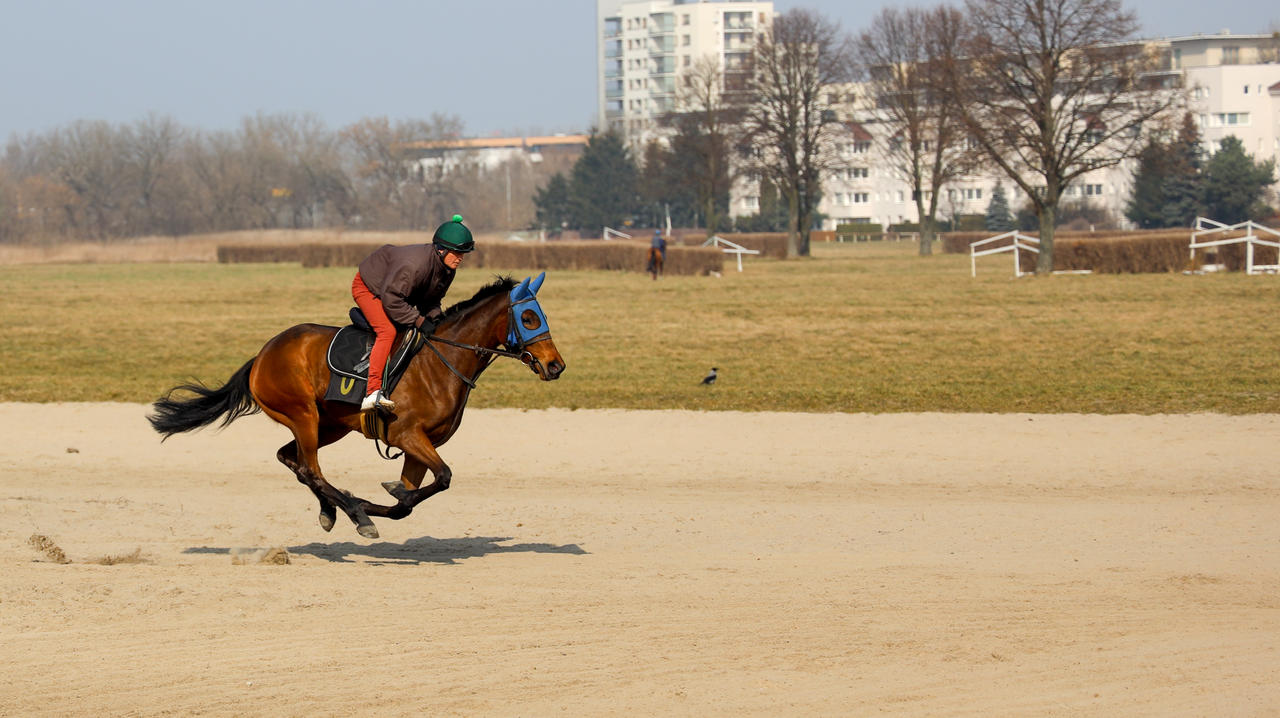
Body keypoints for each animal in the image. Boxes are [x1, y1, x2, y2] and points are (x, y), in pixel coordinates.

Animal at [146, 272, 565, 537]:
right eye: (529, 317)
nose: (555, 366)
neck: (442, 360)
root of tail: (261, 356)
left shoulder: (420, 445)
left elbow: (407, 502)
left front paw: (385, 497)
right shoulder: (407, 435)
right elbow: (442, 477)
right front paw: (367, 504)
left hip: (328, 425)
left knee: (291, 459)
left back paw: (334, 509)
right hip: (303, 414)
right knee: (310, 469)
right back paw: (353, 513)